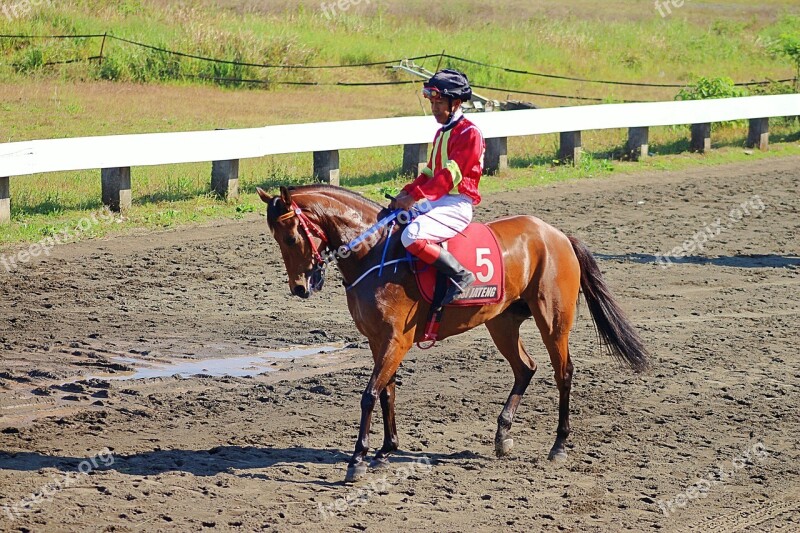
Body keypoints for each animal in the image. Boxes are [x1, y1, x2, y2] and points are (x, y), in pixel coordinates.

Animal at [256, 184, 648, 482]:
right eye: (276, 238)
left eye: (290, 237)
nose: (300, 288)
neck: (375, 253)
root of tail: (556, 234)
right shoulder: (377, 341)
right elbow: (387, 394)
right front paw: (386, 450)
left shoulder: (396, 341)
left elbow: (370, 395)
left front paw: (358, 459)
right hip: (501, 322)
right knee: (525, 368)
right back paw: (502, 435)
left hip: (553, 322)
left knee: (563, 373)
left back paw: (559, 445)